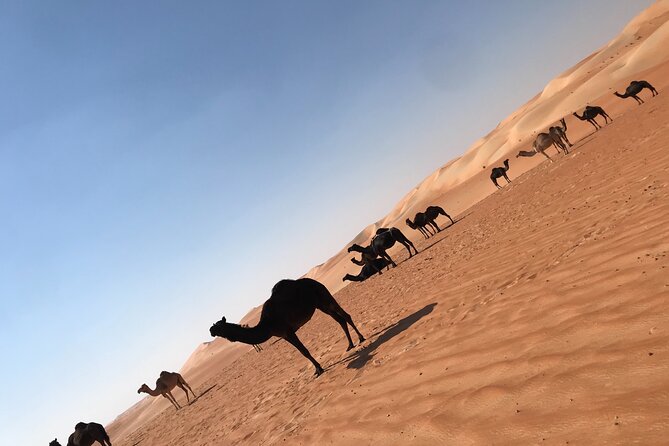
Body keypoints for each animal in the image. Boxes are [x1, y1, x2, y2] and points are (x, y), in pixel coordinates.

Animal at [210, 278, 365, 376]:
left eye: (219, 326)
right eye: (214, 326)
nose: (211, 331)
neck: (267, 324)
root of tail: (312, 281)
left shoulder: (288, 331)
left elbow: (304, 351)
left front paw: (319, 370)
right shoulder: (284, 336)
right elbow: (302, 352)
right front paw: (317, 369)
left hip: (323, 295)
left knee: (345, 315)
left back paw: (361, 338)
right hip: (320, 304)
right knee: (339, 320)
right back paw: (350, 345)